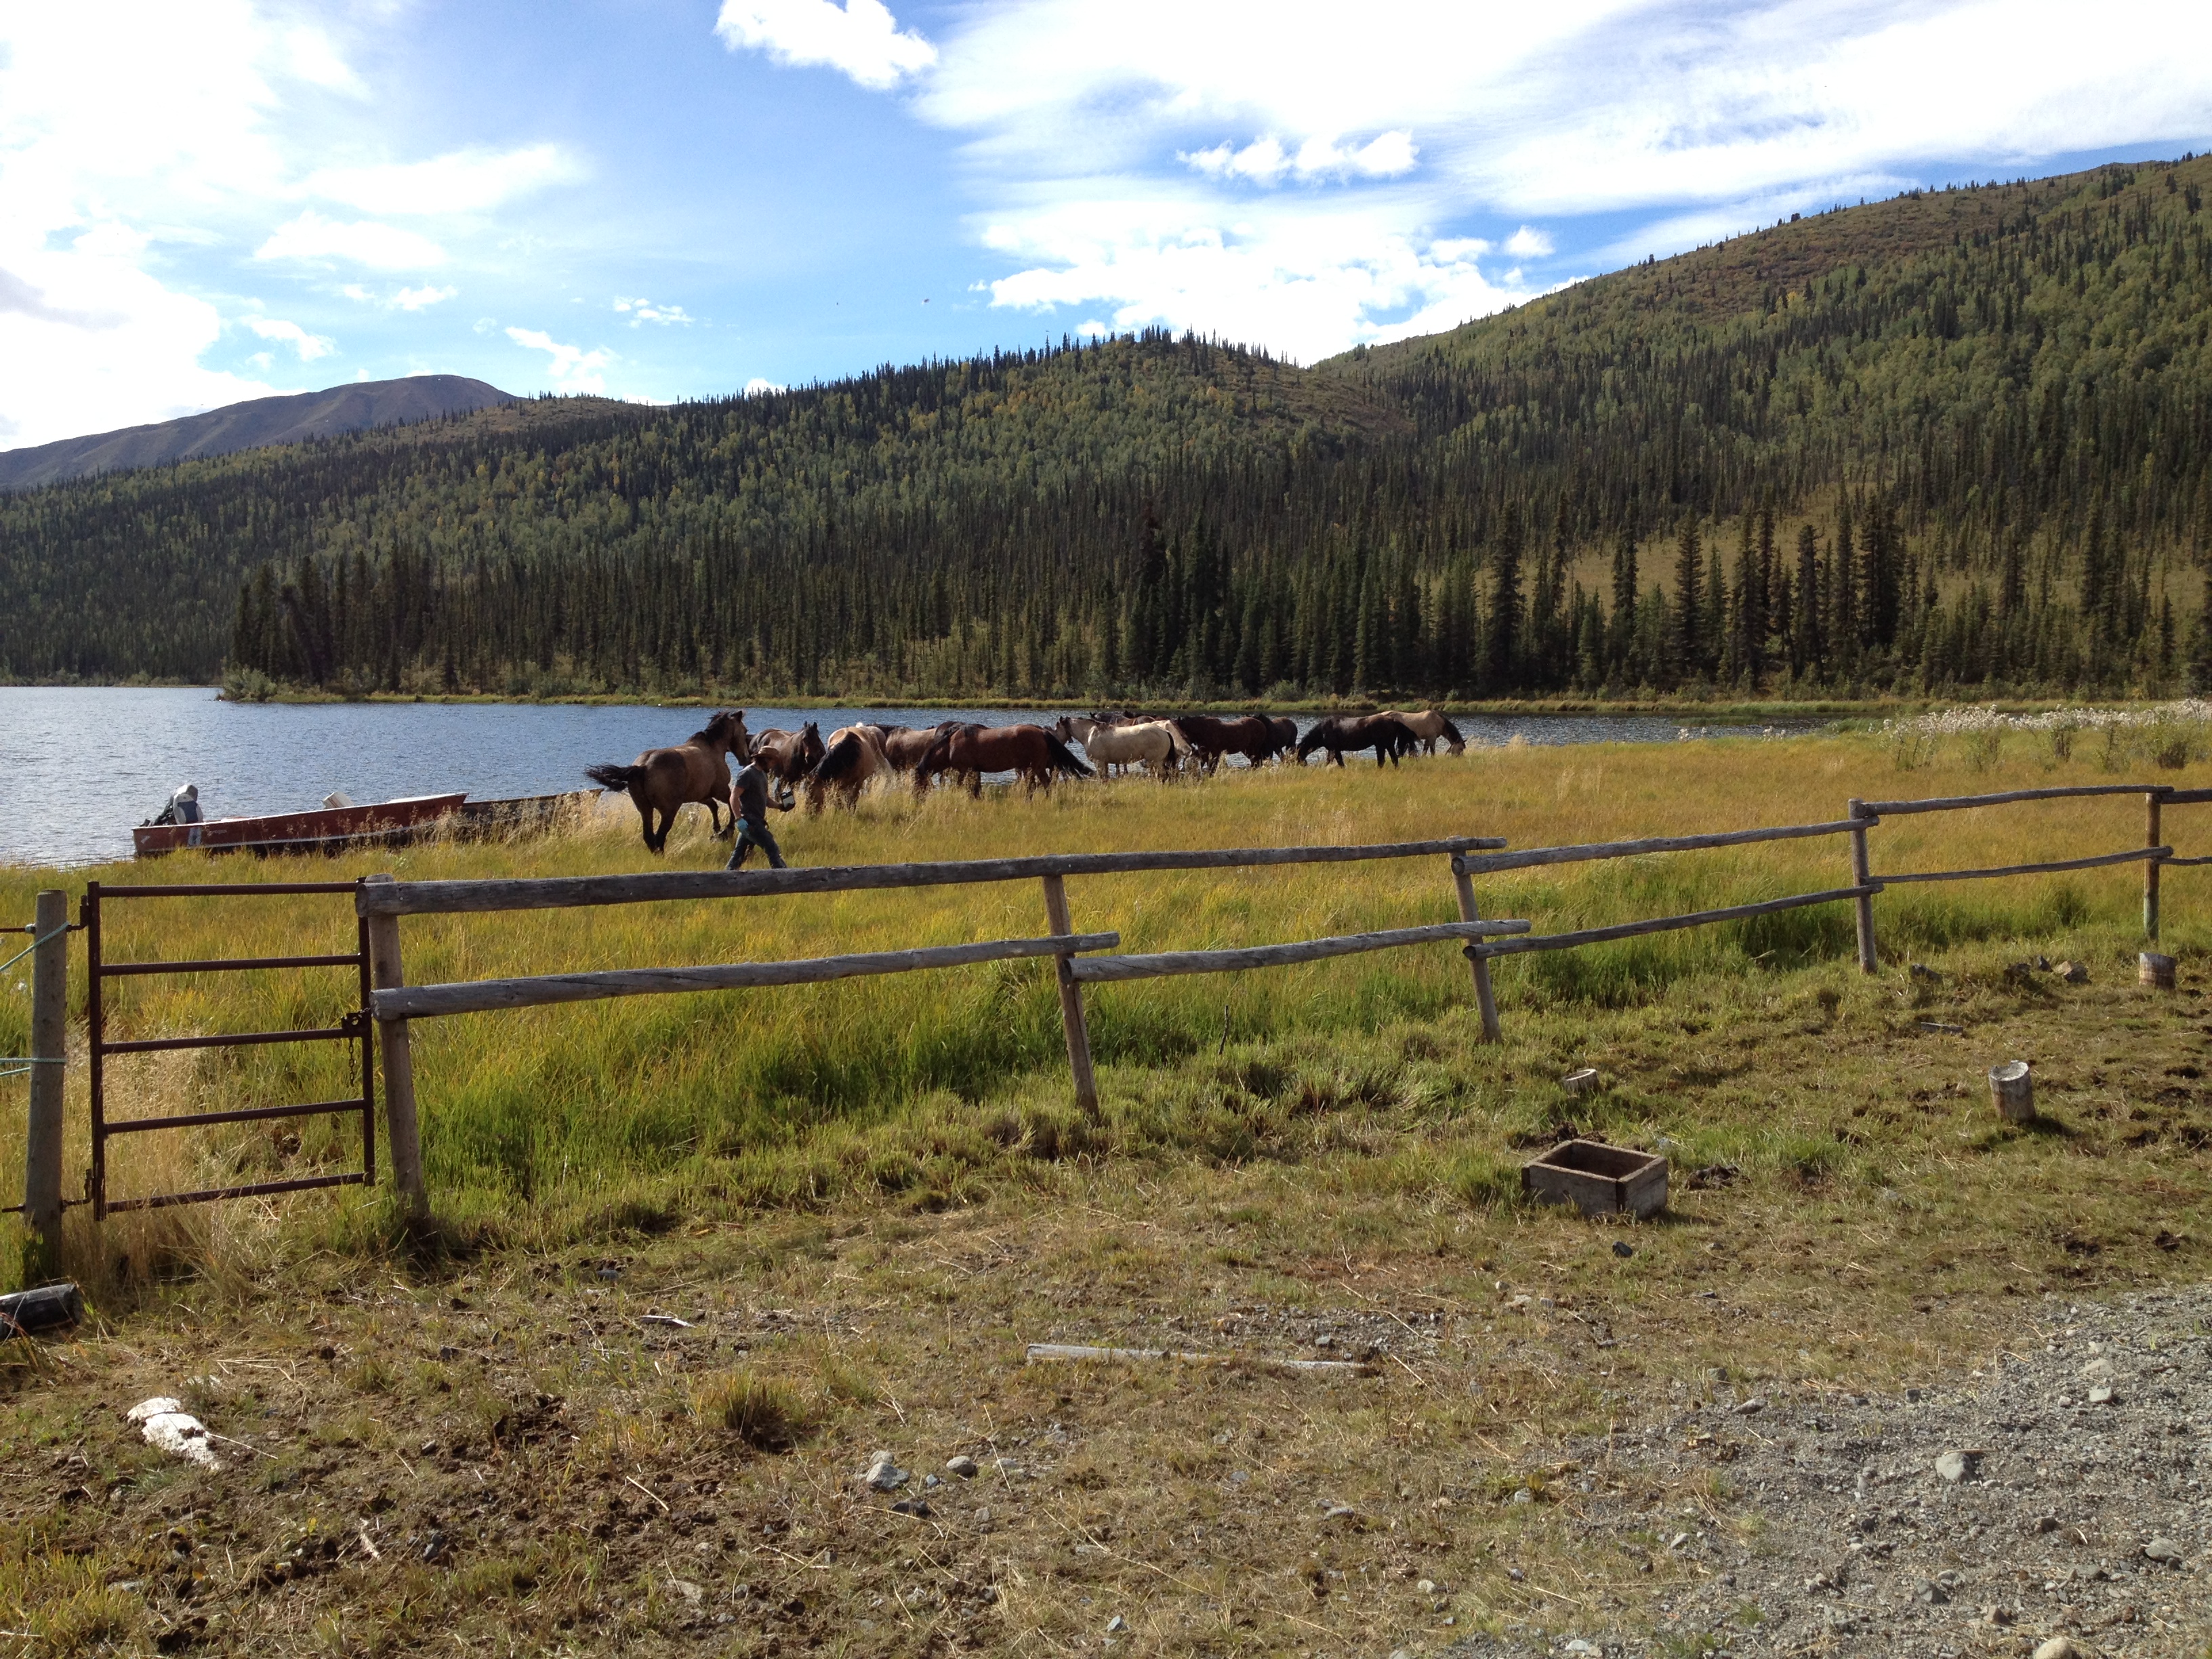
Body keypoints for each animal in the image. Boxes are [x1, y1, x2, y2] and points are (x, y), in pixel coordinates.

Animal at [588, 708, 752, 849]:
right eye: (745, 731)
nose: (746, 759)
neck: (713, 748)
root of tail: (644, 766)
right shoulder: (721, 790)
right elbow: (731, 805)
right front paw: (726, 832)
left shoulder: (701, 795)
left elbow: (714, 806)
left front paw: (717, 831)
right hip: (668, 811)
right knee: (660, 837)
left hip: (645, 810)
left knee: (649, 837)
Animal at [911, 721, 1092, 800]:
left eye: (916, 781)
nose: (916, 800)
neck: (951, 745)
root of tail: (1042, 732)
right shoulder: (974, 770)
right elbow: (976, 789)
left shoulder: (964, 770)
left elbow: (964, 787)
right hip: (1030, 767)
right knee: (1035, 785)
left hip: (1036, 766)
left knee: (1045, 783)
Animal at [1057, 716, 1194, 783]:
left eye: (1058, 726)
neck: (1090, 733)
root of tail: (1165, 732)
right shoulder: (1105, 763)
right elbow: (1106, 779)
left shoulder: (1099, 762)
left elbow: (1102, 778)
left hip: (1157, 762)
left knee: (1164, 776)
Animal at [1292, 712, 1415, 769]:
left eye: (1298, 754)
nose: (1301, 765)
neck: (1322, 731)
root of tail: (1392, 720)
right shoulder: (1335, 750)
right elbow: (1338, 762)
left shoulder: (1333, 749)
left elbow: (1334, 762)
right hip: (1387, 745)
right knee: (1393, 759)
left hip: (1381, 745)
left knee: (1382, 761)